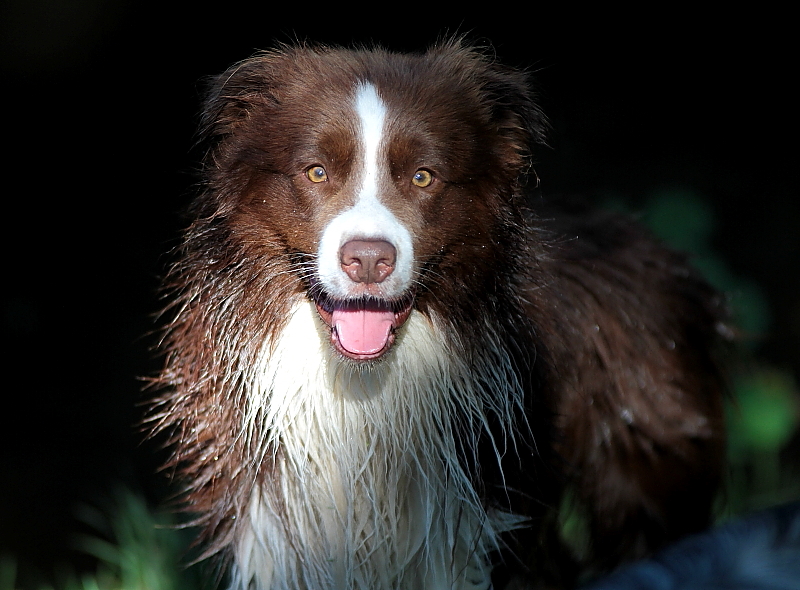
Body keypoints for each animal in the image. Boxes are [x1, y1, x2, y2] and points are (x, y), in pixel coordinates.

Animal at [152, 41, 732, 590]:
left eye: (423, 177)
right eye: (316, 172)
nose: (369, 259)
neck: (366, 393)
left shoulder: (481, 522)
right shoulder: (277, 526)